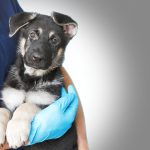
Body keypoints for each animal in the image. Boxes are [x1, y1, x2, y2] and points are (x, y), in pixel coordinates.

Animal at [0, 12, 78, 150]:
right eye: (32, 34)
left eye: (54, 40)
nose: (37, 58)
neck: (30, 79)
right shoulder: (9, 99)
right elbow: (2, 111)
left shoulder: (45, 101)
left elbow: (26, 106)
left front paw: (16, 130)